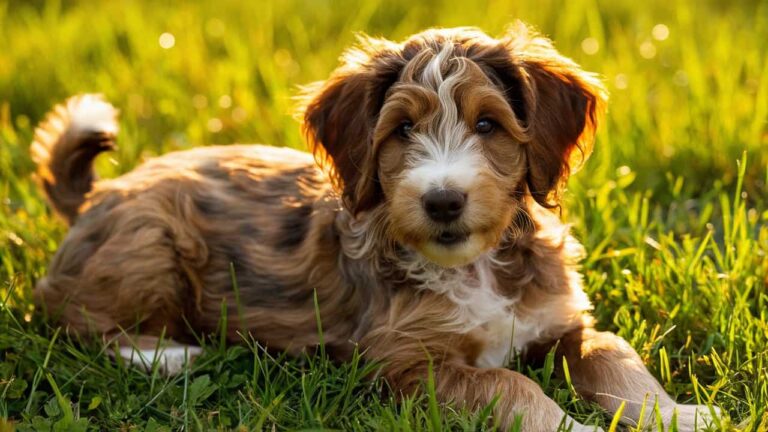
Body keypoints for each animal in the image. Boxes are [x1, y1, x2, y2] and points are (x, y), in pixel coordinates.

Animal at [33, 24, 720, 432]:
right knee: (74, 319)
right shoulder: (406, 366)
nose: (442, 201)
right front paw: (574, 426)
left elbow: (615, 356)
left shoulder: (561, 323)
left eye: (488, 125)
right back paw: (171, 356)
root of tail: (98, 194)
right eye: (403, 130)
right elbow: (509, 383)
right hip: (148, 244)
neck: (475, 268)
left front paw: (681, 414)